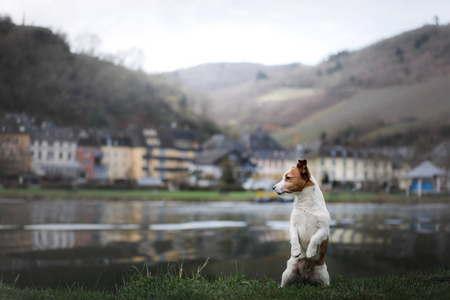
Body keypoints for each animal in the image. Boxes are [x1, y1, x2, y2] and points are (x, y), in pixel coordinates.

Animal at [270, 158, 330, 288]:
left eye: (288, 178)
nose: (273, 187)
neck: (306, 205)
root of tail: (305, 279)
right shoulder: (293, 226)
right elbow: (294, 238)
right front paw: (295, 251)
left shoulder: (323, 230)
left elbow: (314, 238)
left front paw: (310, 252)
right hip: (287, 273)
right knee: (284, 284)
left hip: (324, 275)